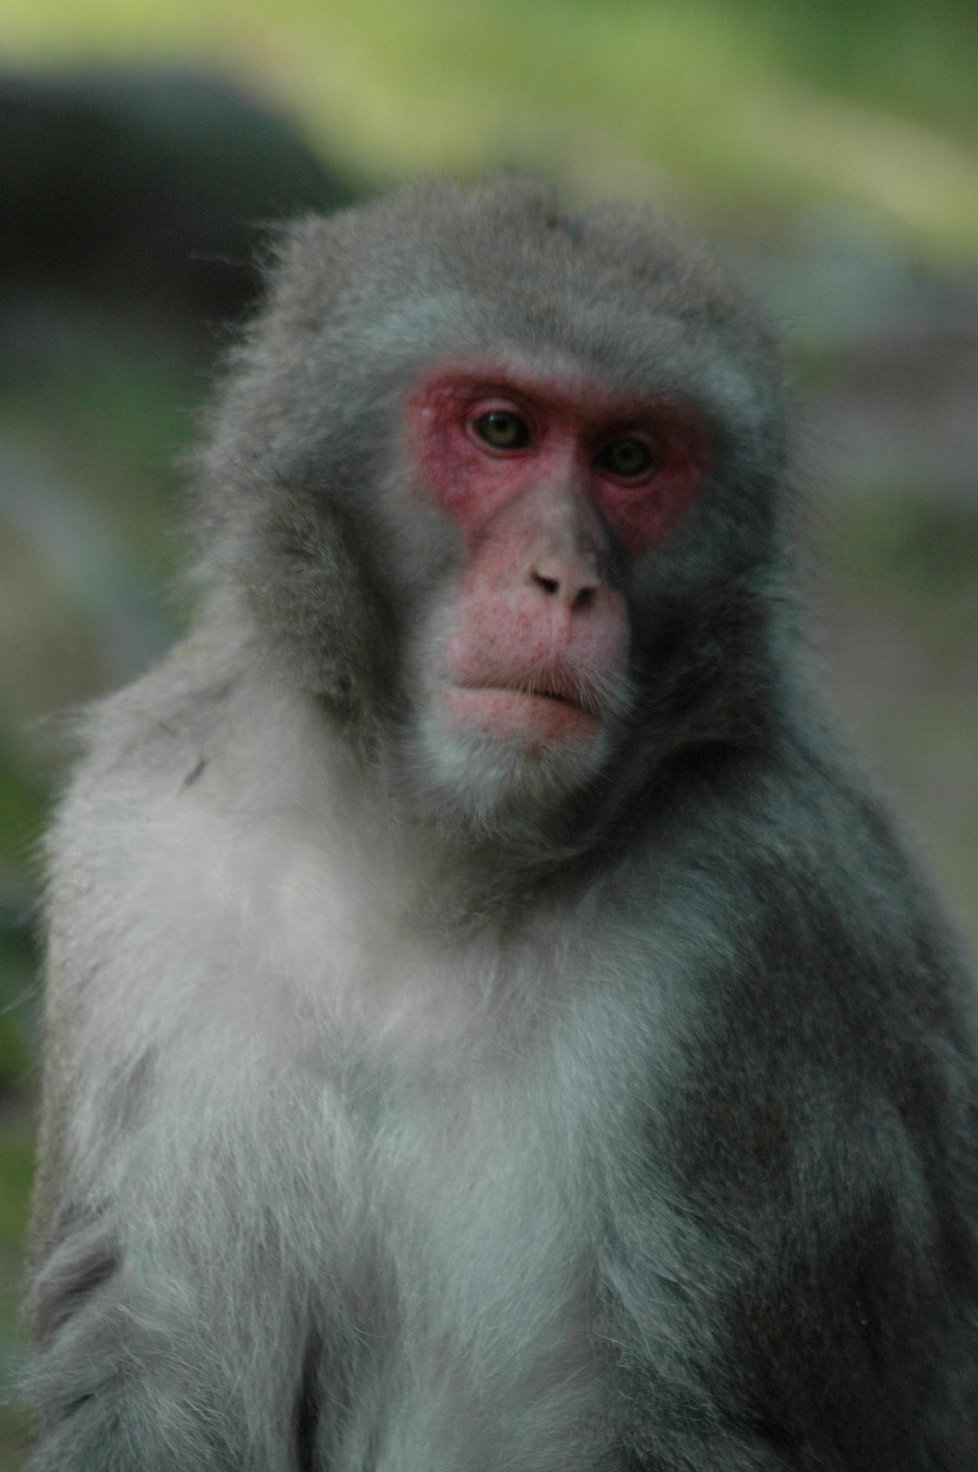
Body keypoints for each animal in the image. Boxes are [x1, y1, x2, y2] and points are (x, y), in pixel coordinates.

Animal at [20, 178, 978, 1466]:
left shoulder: (765, 921)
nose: (565, 580)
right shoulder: (141, 853)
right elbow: (154, 1372)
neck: (421, 871)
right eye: (502, 430)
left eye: (630, 458)